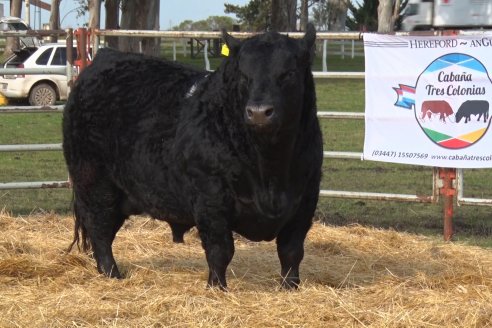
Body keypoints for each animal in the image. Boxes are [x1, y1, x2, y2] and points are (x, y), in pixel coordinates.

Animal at [62, 25, 322, 290]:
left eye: (288, 73)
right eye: (243, 75)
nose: (259, 112)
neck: (269, 168)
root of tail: (105, 58)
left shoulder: (305, 199)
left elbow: (291, 251)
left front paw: (290, 287)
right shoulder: (211, 199)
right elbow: (220, 251)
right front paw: (217, 288)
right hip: (94, 183)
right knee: (100, 231)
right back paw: (112, 274)